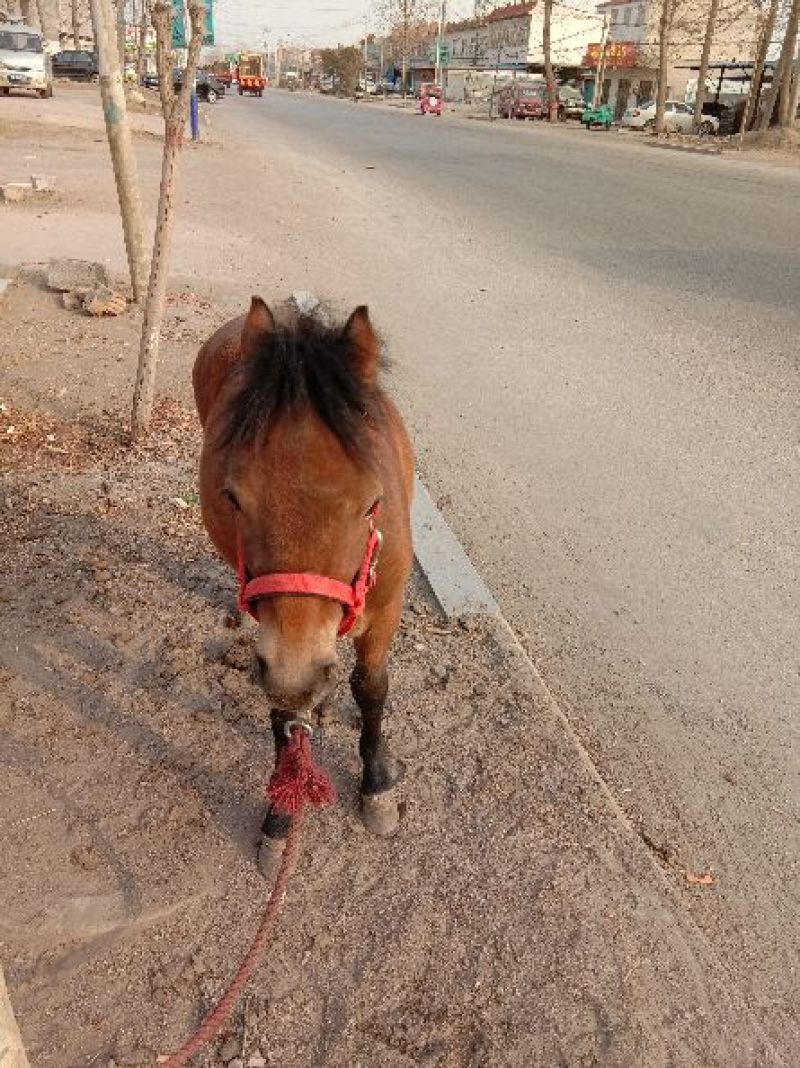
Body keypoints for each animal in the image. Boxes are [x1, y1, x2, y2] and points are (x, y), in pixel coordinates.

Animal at [193, 296, 414, 869]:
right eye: (233, 497)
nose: (297, 672)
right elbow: (286, 716)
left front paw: (376, 786)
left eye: (372, 501)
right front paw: (280, 819)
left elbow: (371, 688)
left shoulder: (387, 609)